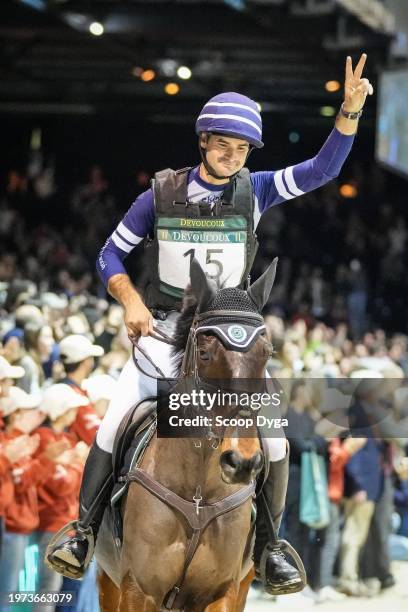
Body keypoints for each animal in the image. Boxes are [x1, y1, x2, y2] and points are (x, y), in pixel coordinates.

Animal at [96, 256, 280, 608]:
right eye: (205, 355)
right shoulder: (138, 589)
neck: (198, 494)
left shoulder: (223, 592)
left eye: (266, 353)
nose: (242, 462)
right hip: (108, 582)